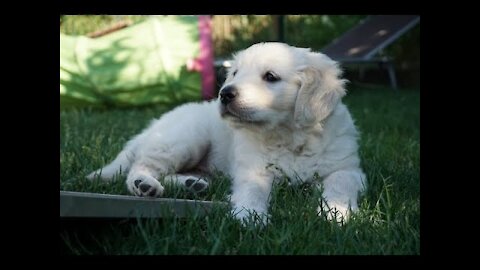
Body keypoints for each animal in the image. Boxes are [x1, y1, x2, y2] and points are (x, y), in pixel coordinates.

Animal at [88, 41, 366, 224]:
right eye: (235, 73)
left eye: (270, 77)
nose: (225, 94)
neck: (288, 136)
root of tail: (152, 128)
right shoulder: (253, 169)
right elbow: (252, 190)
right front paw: (250, 217)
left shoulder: (348, 168)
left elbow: (341, 184)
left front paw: (336, 214)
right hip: (183, 138)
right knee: (142, 166)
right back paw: (144, 185)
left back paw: (192, 184)